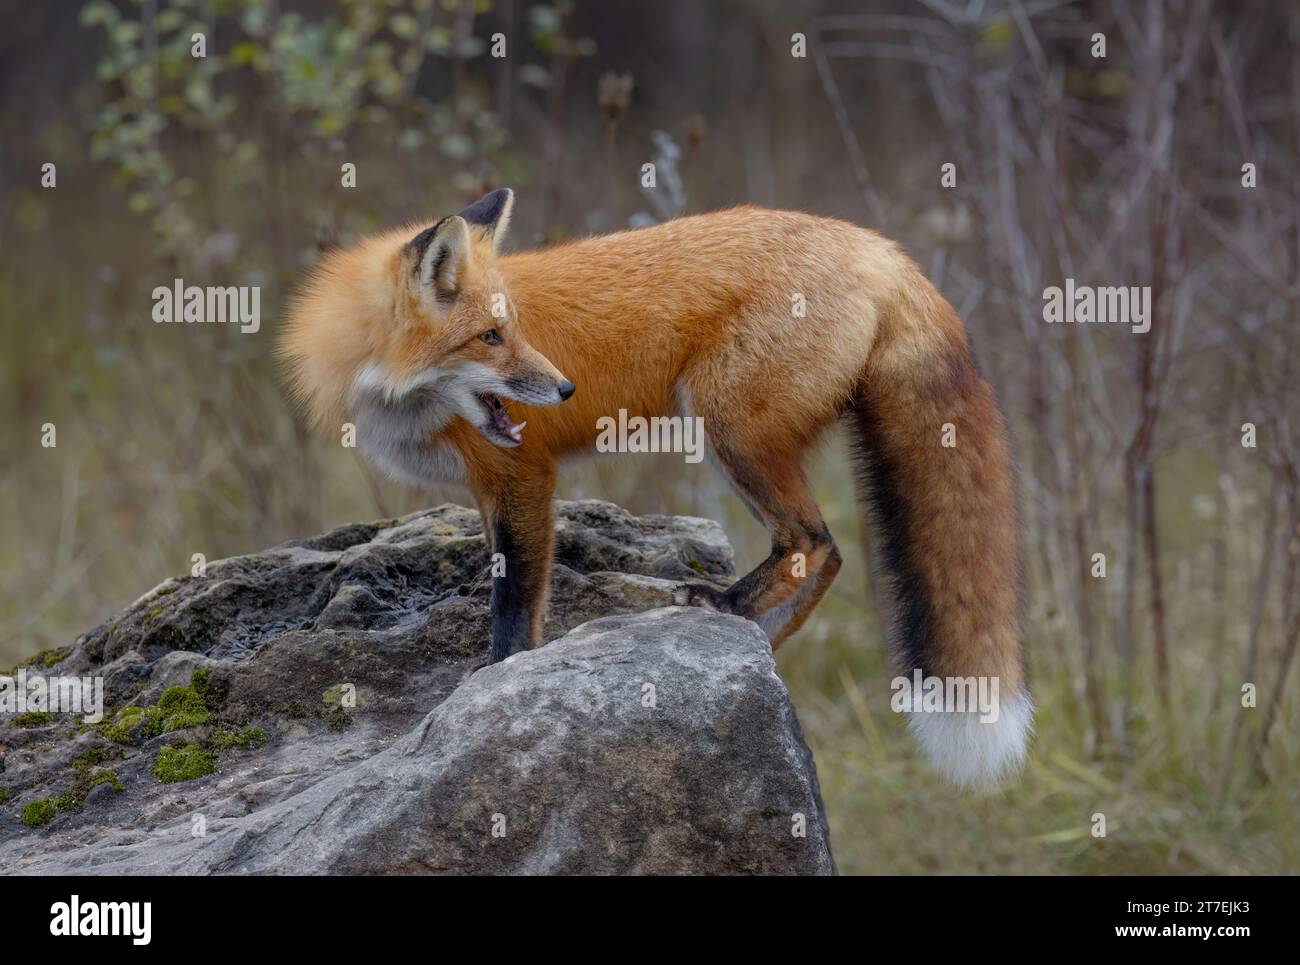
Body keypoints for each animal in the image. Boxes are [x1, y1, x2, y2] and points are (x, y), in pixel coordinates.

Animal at [279, 188, 1029, 785]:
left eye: (508, 330)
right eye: (489, 336)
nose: (564, 389)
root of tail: (880, 248)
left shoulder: (522, 474)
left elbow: (514, 604)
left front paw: (495, 681)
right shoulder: (491, 487)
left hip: (728, 426)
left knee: (812, 543)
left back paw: (724, 602)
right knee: (831, 555)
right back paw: (755, 641)